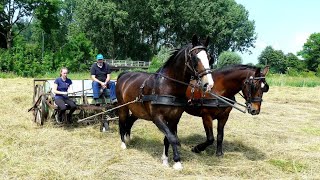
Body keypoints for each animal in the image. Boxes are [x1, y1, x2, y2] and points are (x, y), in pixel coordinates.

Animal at [116, 34, 214, 169]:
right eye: (195, 58)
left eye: (209, 58)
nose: (208, 84)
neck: (167, 86)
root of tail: (124, 74)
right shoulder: (158, 118)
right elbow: (172, 137)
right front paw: (177, 161)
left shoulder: (174, 118)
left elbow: (168, 138)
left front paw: (167, 160)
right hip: (123, 107)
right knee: (122, 123)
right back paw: (123, 144)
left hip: (137, 110)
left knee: (129, 122)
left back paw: (128, 139)